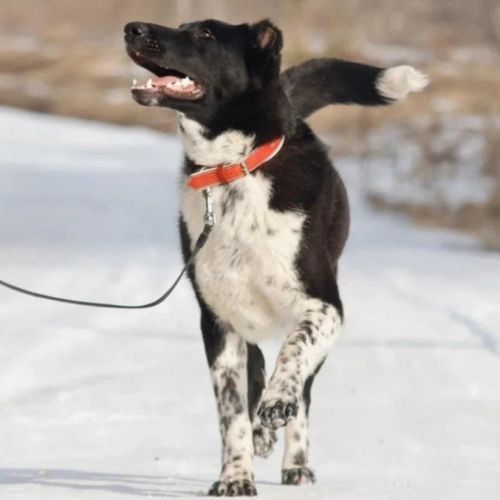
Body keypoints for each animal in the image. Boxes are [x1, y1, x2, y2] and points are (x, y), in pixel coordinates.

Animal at [124, 18, 427, 496]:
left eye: (204, 35)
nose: (131, 28)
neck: (233, 168)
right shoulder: (219, 323)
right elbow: (232, 413)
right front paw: (234, 477)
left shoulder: (324, 306)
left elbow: (293, 356)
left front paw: (278, 403)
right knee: (255, 379)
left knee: (302, 391)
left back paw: (295, 460)